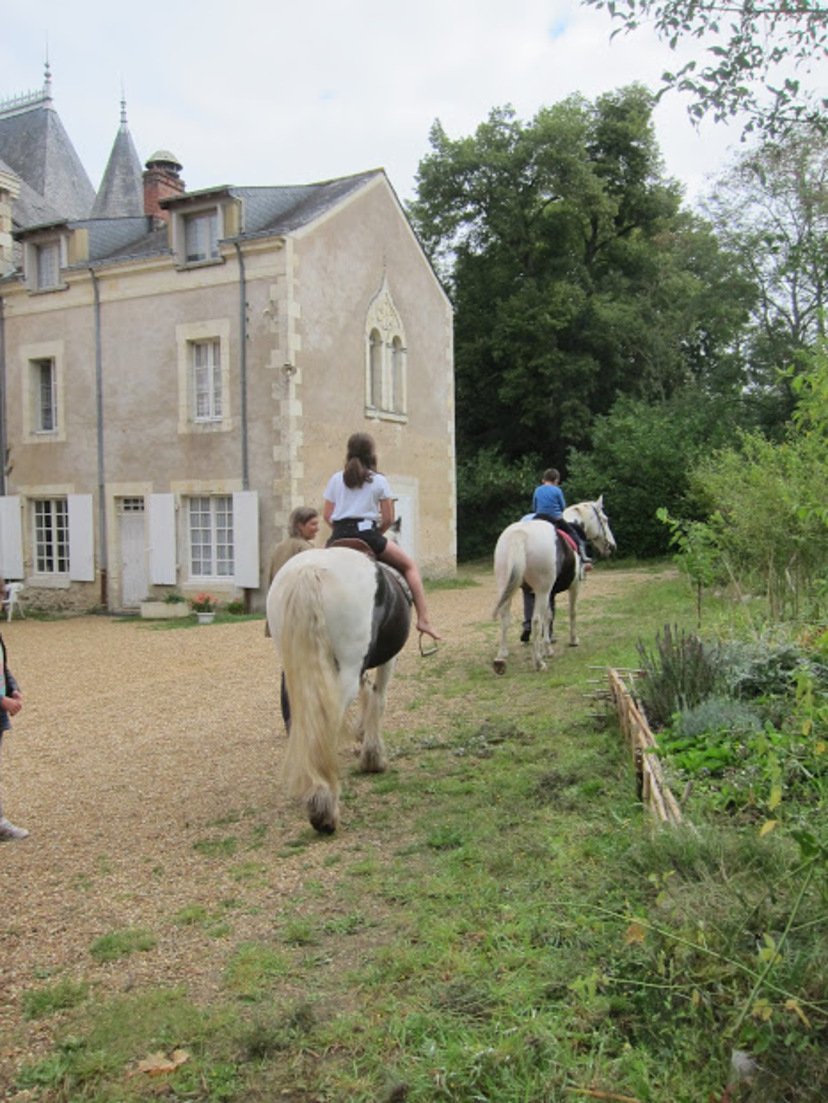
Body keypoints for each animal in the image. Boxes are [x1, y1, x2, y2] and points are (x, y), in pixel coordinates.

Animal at [269, 542, 412, 833]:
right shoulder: (387, 660)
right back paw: (324, 806)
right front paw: (372, 757)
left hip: (293, 667)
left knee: (298, 719)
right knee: (326, 722)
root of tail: (310, 570)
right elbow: (379, 699)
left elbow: (368, 694)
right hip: (346, 668)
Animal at [491, 498, 617, 670]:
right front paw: (572, 640)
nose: (612, 546)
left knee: (505, 617)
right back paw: (538, 662)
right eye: (604, 519)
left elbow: (548, 616)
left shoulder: (548, 593)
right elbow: (571, 612)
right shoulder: (574, 586)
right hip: (541, 591)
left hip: (506, 586)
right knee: (535, 620)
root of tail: (520, 534)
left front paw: (548, 648)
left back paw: (501, 656)